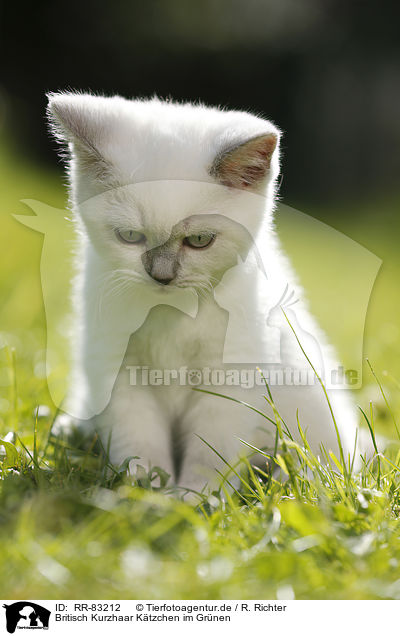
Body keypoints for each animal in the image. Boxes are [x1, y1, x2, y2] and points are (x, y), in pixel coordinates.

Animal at [47, 93, 366, 492]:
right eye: (130, 237)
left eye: (199, 240)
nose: (162, 276)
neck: (174, 314)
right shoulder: (117, 369)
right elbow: (137, 441)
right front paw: (143, 489)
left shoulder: (229, 381)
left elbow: (210, 453)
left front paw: (194, 497)